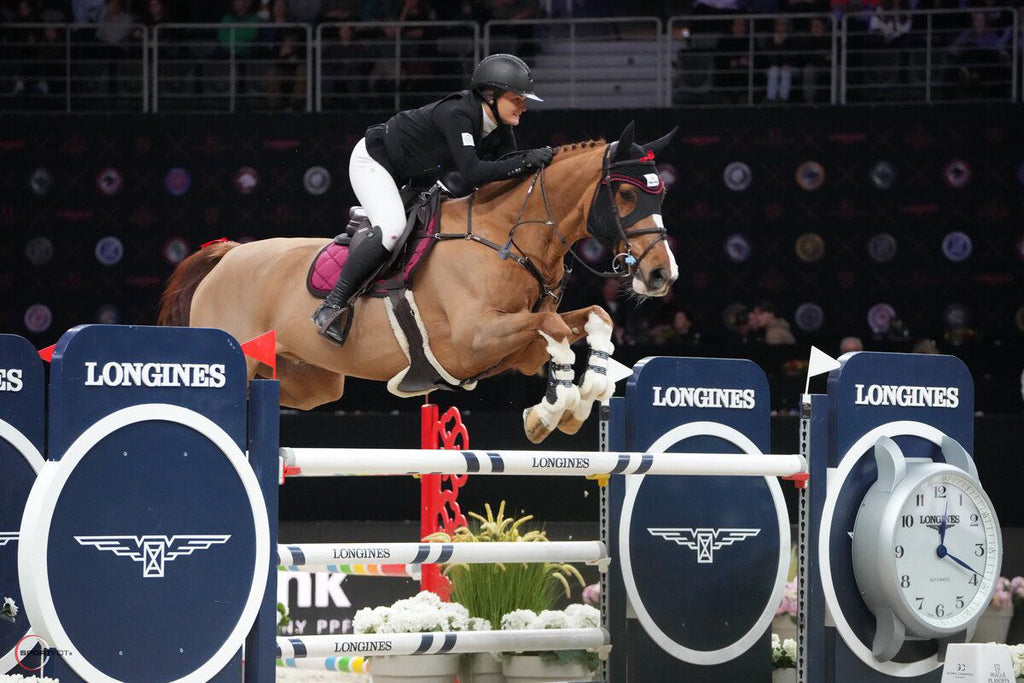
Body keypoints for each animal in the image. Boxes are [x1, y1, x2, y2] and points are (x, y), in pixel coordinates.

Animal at [158, 122, 679, 443]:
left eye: (663, 194)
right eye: (626, 193)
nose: (661, 274)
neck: (506, 237)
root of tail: (227, 255)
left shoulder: (514, 348)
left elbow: (591, 320)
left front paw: (574, 400)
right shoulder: (473, 340)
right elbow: (553, 329)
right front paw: (557, 408)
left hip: (313, 381)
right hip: (244, 353)